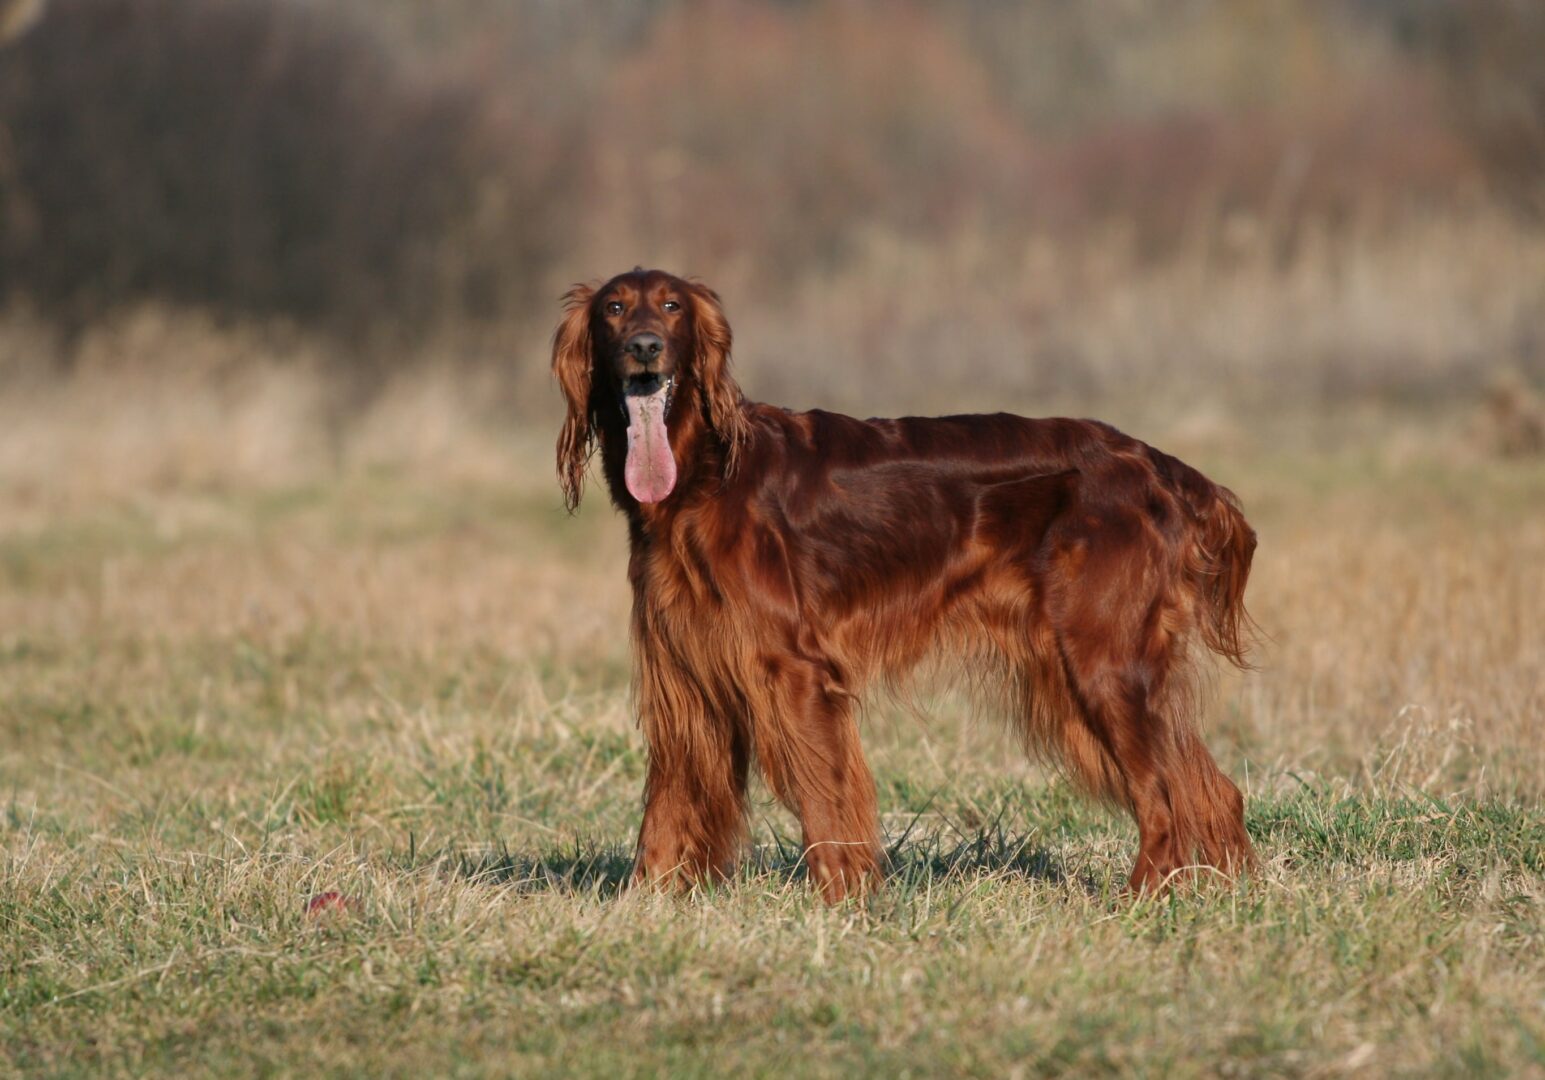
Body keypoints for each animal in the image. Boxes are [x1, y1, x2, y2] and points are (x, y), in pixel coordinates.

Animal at [556, 270, 1254, 902]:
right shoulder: (686, 680)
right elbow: (667, 814)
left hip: (1101, 662)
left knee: (1163, 794)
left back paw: (1144, 898)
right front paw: (647, 905)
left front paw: (844, 904)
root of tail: (1156, 465)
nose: (645, 345)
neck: (703, 476)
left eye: (671, 306)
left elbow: (826, 802)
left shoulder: (793, 672)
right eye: (615, 308)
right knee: (1209, 789)